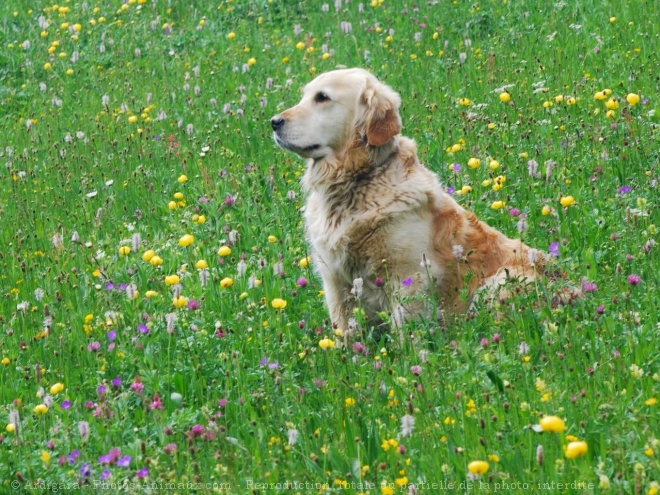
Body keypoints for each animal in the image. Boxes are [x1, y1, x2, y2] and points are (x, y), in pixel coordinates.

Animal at [270, 69, 576, 334]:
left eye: (322, 97)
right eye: (304, 96)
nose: (274, 121)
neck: (356, 183)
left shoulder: (408, 276)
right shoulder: (334, 280)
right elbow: (344, 330)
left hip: (498, 282)